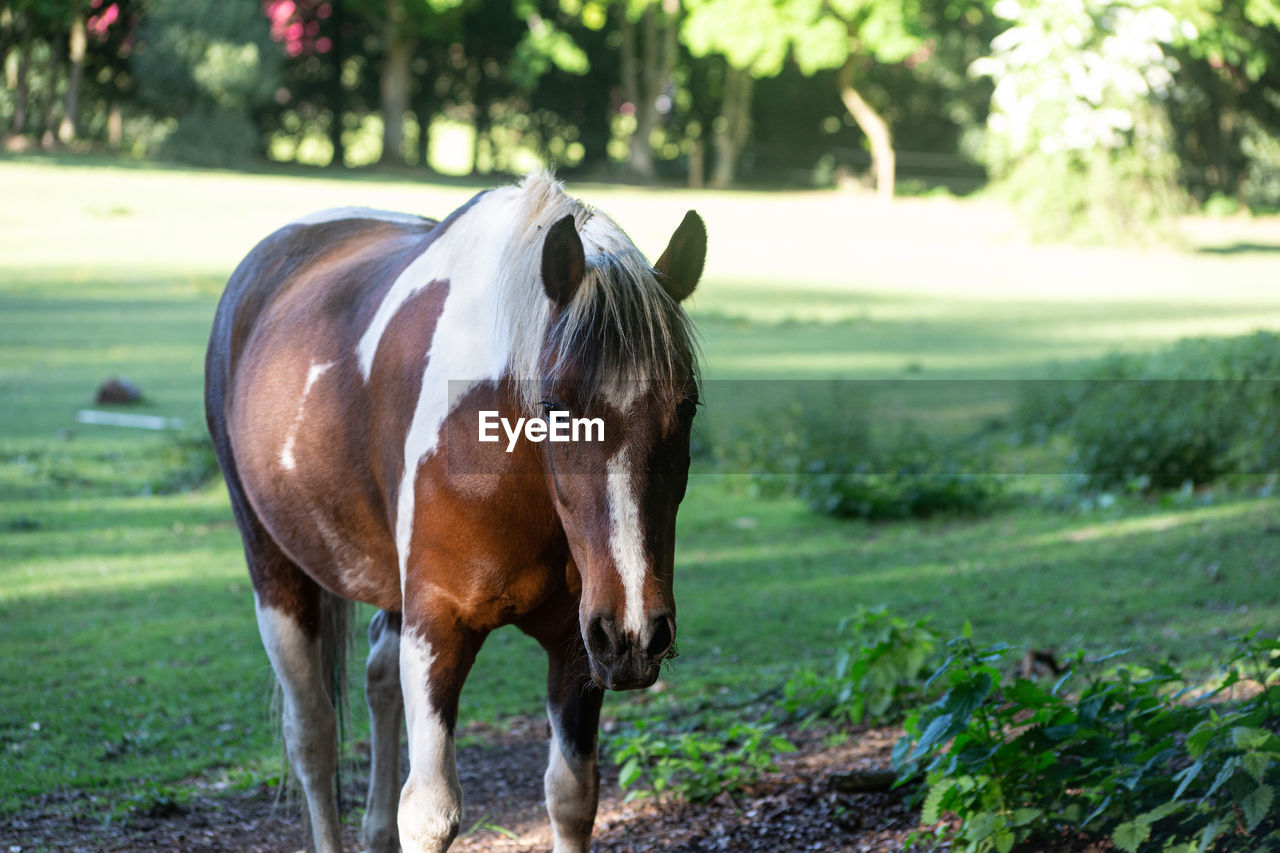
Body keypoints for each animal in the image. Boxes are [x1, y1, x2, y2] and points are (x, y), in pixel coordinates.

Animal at [203, 172, 706, 850]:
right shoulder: (436, 628)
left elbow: (572, 796)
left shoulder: (577, 646)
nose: (636, 632)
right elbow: (430, 812)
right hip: (274, 569)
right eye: (554, 406)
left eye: (687, 407)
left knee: (376, 682)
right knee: (312, 736)